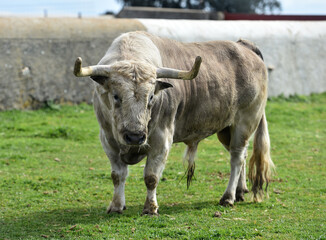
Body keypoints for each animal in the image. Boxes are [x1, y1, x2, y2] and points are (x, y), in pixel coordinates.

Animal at [72, 31, 274, 215]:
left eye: (151, 97)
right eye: (116, 96)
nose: (135, 137)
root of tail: (244, 46)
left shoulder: (161, 139)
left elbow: (151, 177)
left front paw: (150, 208)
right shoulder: (108, 139)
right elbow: (117, 175)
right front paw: (116, 205)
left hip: (245, 122)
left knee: (236, 158)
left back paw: (228, 197)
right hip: (226, 130)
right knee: (242, 155)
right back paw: (240, 191)